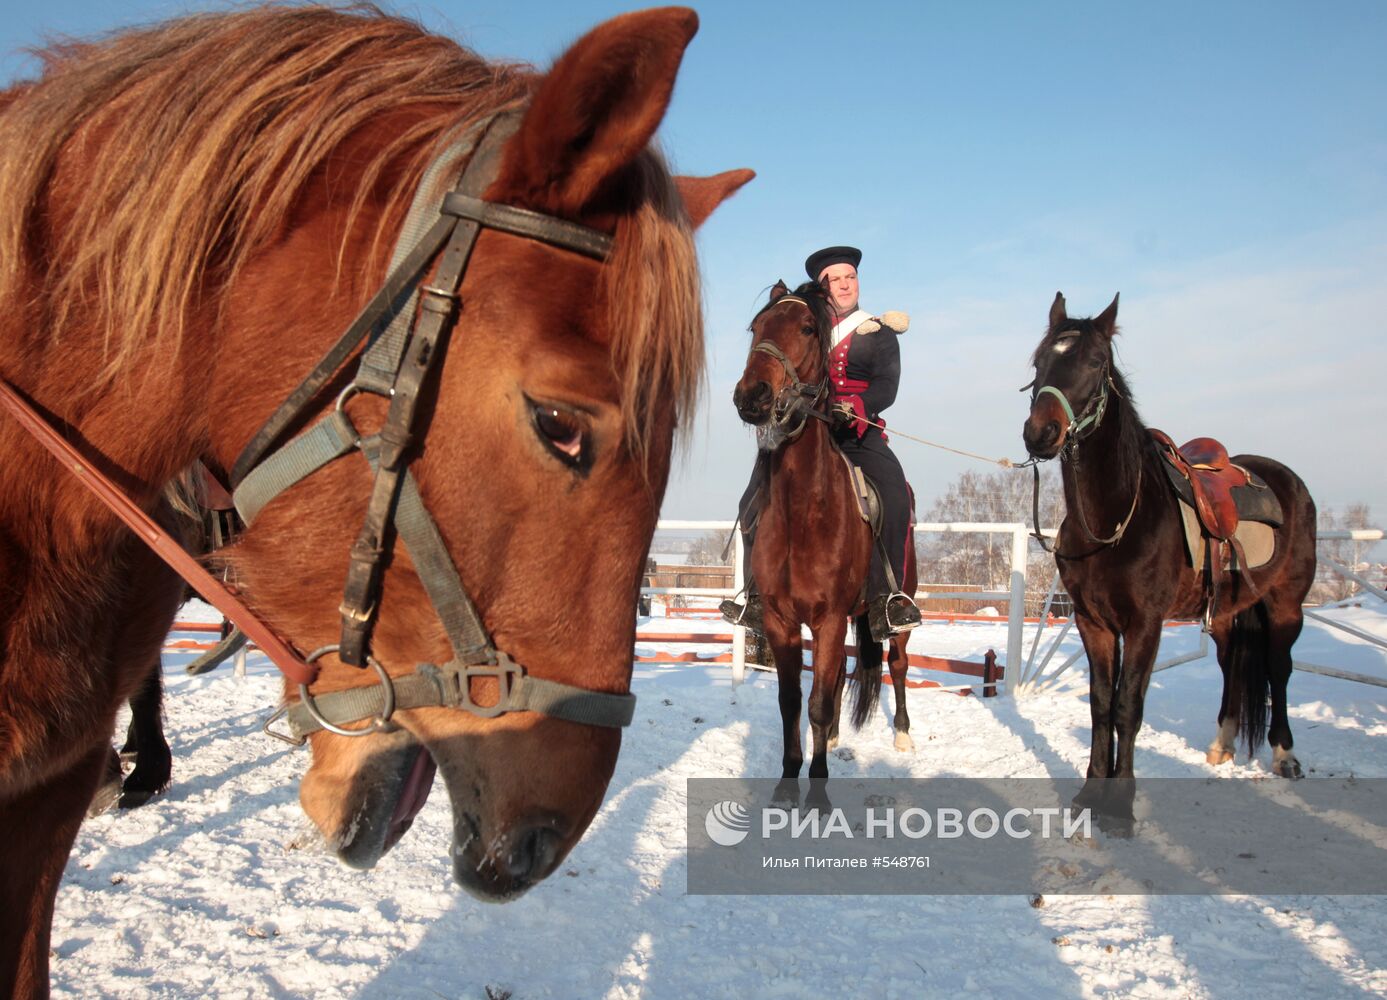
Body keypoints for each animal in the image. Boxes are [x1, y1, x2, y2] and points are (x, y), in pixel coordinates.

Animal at [732, 278, 915, 782]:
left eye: (808, 328)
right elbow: (793, 701)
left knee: (897, 662)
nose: (751, 396)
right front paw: (790, 775)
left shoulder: (829, 618)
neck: (802, 510)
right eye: (756, 328)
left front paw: (816, 783)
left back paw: (902, 733)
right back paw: (832, 737)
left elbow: (815, 703)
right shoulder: (782, 621)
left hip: (896, 608)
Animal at [1026, 292, 1314, 832]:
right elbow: (1101, 706)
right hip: (1223, 615)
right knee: (1231, 664)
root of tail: (1286, 478)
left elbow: (1127, 707)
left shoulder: (1145, 624)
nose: (1041, 433)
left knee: (1279, 668)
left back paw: (1285, 755)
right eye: (1039, 363)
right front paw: (1089, 795)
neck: (1117, 518)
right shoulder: (1093, 623)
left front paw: (1119, 806)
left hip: (1286, 606)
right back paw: (1221, 745)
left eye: (1095, 363)